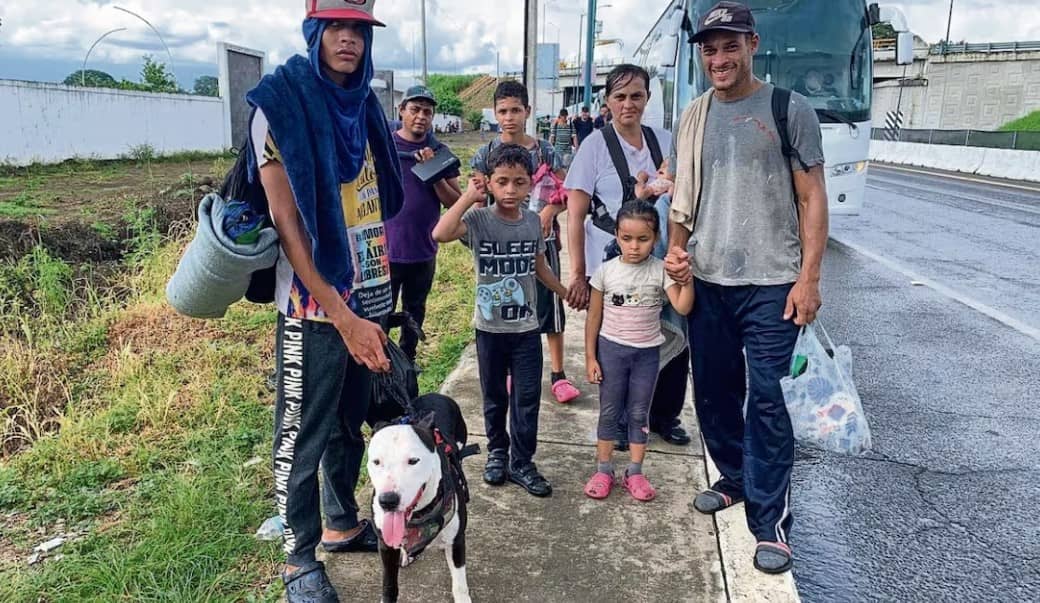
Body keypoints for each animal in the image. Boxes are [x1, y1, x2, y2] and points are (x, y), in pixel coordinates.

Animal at [368, 392, 476, 603]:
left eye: (413, 461)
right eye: (376, 461)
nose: (387, 501)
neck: (419, 515)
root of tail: (436, 394)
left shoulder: (457, 540)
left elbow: (460, 583)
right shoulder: (385, 546)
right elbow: (389, 584)